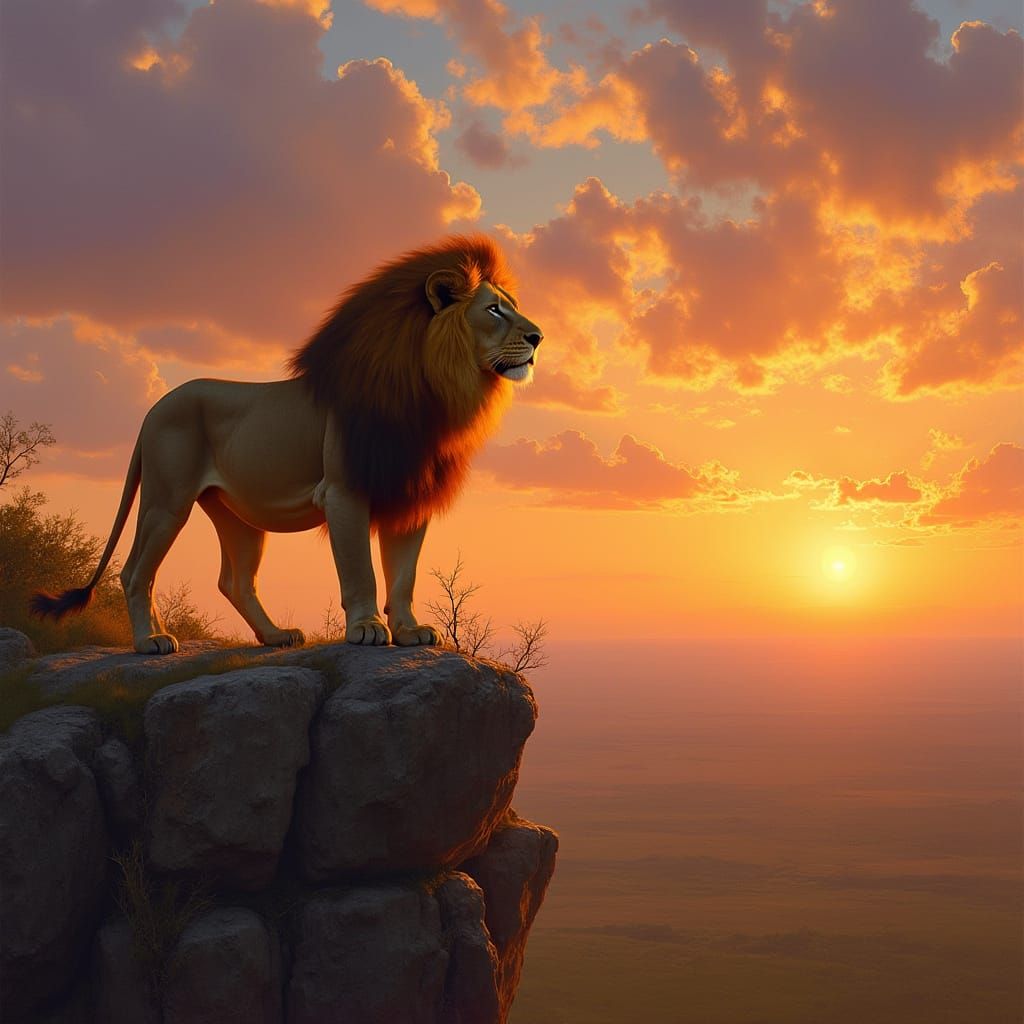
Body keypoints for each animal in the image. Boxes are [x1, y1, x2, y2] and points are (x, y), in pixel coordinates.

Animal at [32, 235, 542, 654]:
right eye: (494, 310)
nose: (538, 336)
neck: (431, 392)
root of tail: (153, 409)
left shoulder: (408, 494)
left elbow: (404, 574)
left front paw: (410, 630)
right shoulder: (344, 492)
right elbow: (360, 570)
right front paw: (366, 628)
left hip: (236, 515)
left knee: (235, 580)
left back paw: (275, 636)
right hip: (166, 499)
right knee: (136, 570)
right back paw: (150, 641)